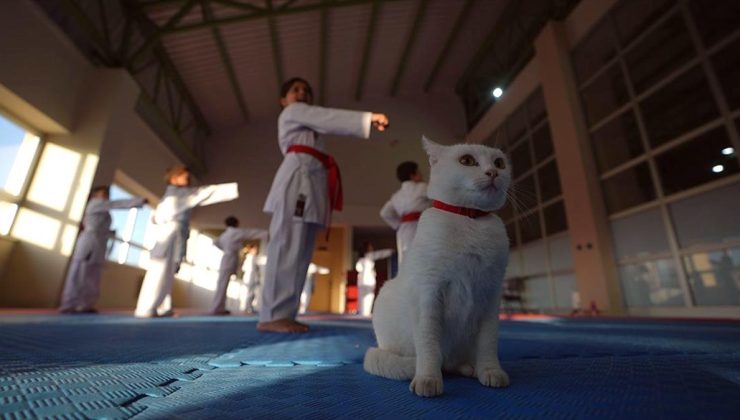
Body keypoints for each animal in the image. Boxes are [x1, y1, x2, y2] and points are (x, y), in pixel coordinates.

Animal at [362, 136, 512, 396]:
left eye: (499, 163)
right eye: (467, 160)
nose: (492, 172)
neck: (470, 220)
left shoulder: (491, 295)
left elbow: (488, 343)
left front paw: (491, 372)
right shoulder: (429, 292)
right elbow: (429, 344)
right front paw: (428, 379)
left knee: (455, 362)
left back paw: (470, 368)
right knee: (434, 359)